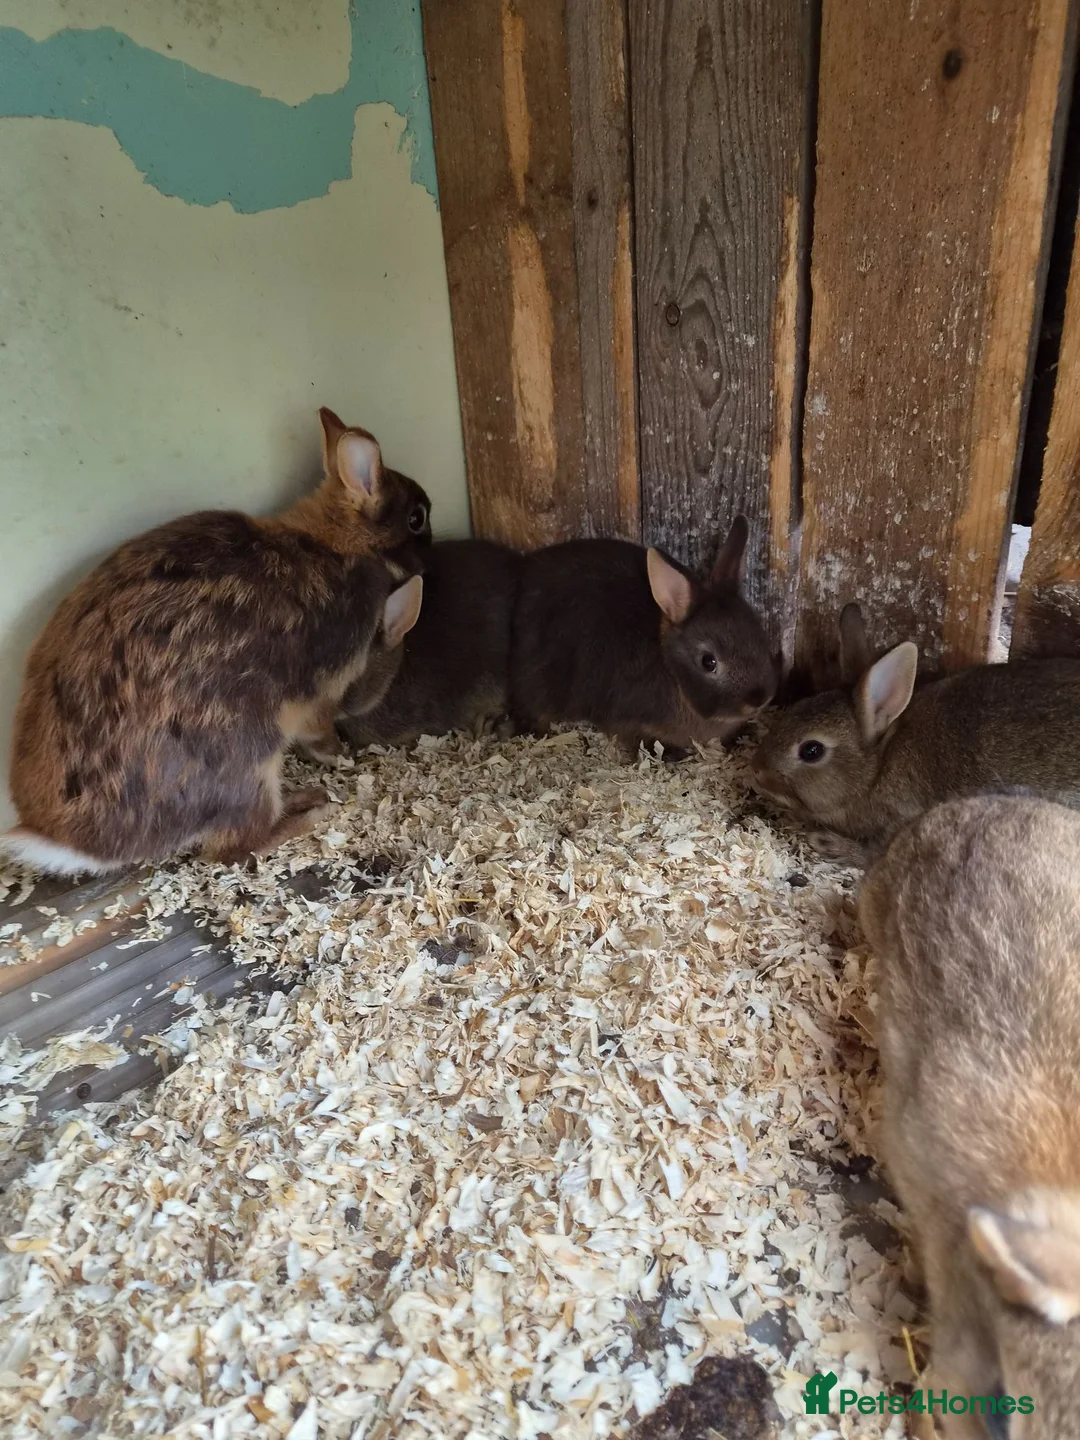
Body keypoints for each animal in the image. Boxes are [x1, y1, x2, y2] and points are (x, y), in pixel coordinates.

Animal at [1, 407, 431, 874]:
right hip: (249, 763)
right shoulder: (324, 689)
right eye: (416, 518)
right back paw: (312, 808)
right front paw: (337, 755)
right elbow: (318, 731)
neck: (337, 544)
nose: (429, 555)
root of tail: (74, 843)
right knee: (233, 848)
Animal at [749, 602, 1080, 864]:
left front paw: (830, 845)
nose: (757, 771)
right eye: (797, 706)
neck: (878, 768)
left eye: (812, 750)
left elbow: (874, 852)